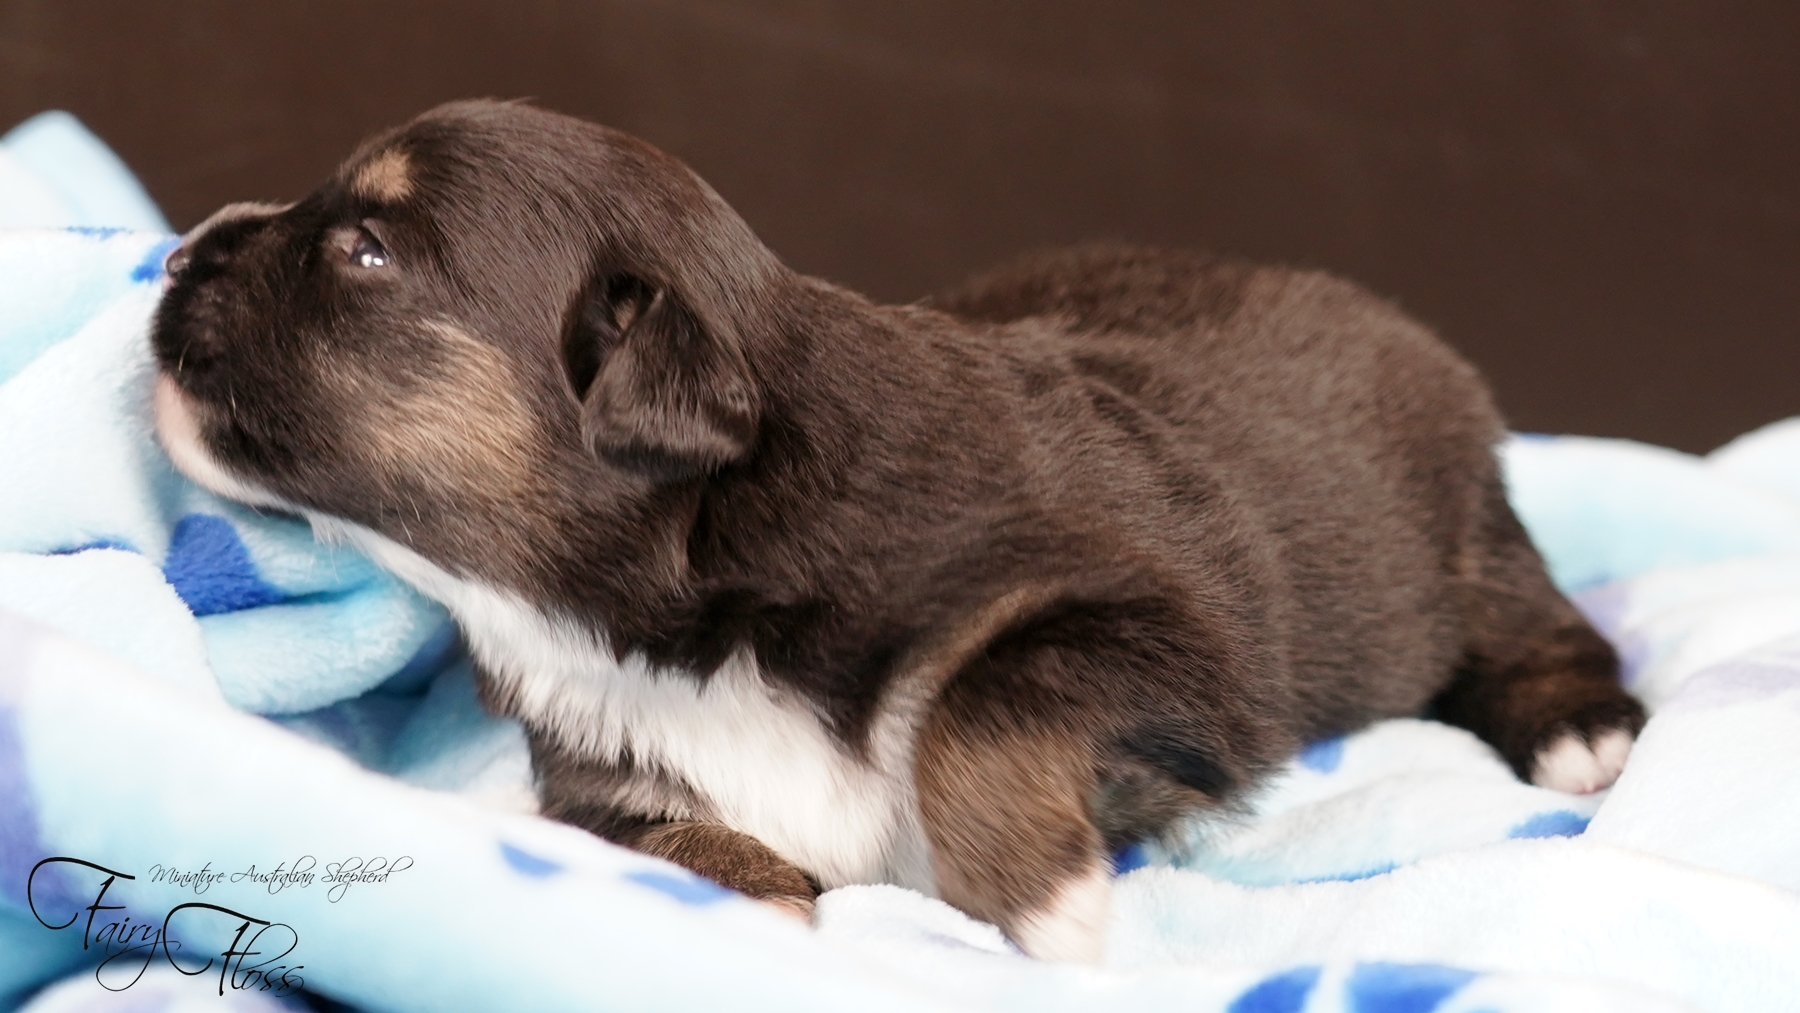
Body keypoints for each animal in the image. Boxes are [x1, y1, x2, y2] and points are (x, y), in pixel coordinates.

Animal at [151, 98, 1648, 964]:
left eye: (366, 251)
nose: (175, 256)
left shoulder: (1183, 630)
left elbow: (982, 696)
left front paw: (1044, 900)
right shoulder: (596, 767)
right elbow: (649, 835)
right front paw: (747, 901)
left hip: (1456, 528)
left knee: (1542, 621)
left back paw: (1583, 731)